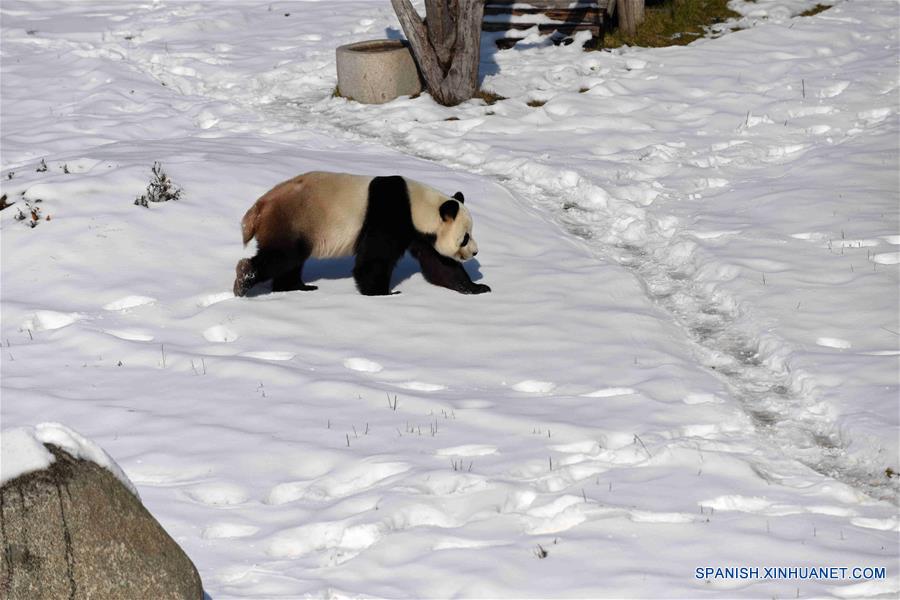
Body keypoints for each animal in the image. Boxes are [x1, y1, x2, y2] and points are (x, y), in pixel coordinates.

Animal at [232, 171, 486, 296]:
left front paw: (476, 288)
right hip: (294, 218)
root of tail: (261, 205)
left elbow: (440, 263)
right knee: (283, 256)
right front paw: (384, 293)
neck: (417, 204)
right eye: (465, 237)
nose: (475, 252)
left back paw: (295, 287)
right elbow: (374, 259)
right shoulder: (389, 216)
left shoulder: (419, 232)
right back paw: (244, 279)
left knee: (290, 262)